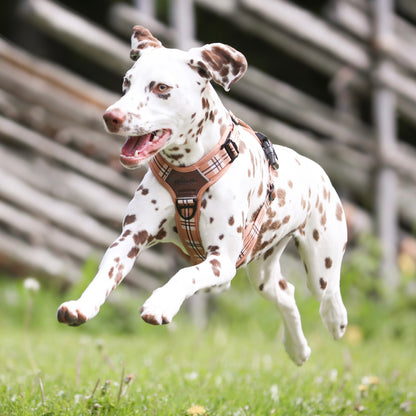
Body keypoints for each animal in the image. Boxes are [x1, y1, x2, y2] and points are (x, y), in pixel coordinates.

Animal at [56, 26, 348, 366]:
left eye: (162, 87)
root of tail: (315, 168)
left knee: (329, 293)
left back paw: (336, 319)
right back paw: (297, 348)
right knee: (286, 293)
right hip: (263, 272)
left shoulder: (221, 262)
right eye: (127, 83)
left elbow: (185, 274)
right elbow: (106, 273)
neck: (189, 173)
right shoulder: (131, 238)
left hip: (321, 264)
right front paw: (82, 305)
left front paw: (161, 304)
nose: (111, 116)